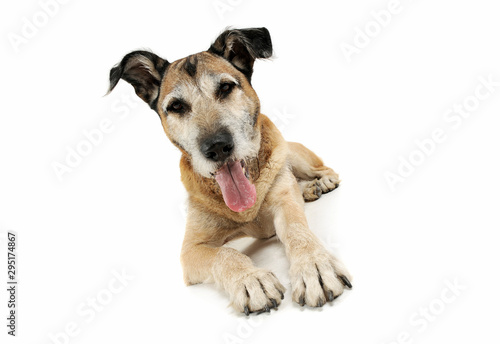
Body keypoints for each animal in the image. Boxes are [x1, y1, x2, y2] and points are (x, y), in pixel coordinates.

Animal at [108, 26, 354, 314]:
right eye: (176, 106)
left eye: (225, 87)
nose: (217, 147)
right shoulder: (192, 250)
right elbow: (225, 254)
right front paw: (250, 280)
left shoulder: (285, 204)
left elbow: (297, 230)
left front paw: (314, 266)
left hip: (293, 154)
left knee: (320, 167)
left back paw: (321, 182)